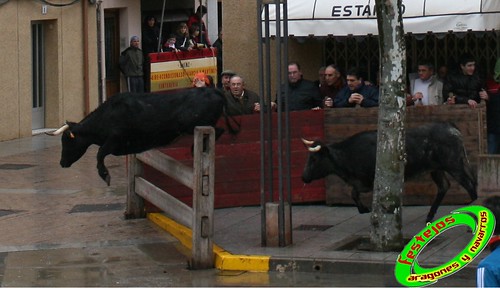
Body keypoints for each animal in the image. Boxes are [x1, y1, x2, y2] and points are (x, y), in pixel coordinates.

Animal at [47, 88, 239, 186]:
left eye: (67, 140)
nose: (62, 163)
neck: (107, 116)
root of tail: (213, 90)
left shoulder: (114, 140)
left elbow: (100, 154)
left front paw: (105, 175)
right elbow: (100, 153)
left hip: (196, 126)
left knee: (218, 131)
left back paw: (195, 150)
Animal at [300, 122, 476, 223]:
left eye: (314, 159)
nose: (304, 177)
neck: (348, 154)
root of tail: (452, 128)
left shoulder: (371, 181)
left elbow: (357, 194)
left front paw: (367, 210)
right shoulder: (361, 183)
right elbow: (353, 193)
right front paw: (362, 209)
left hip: (454, 165)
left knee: (470, 184)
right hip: (437, 169)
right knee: (444, 186)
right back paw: (430, 216)